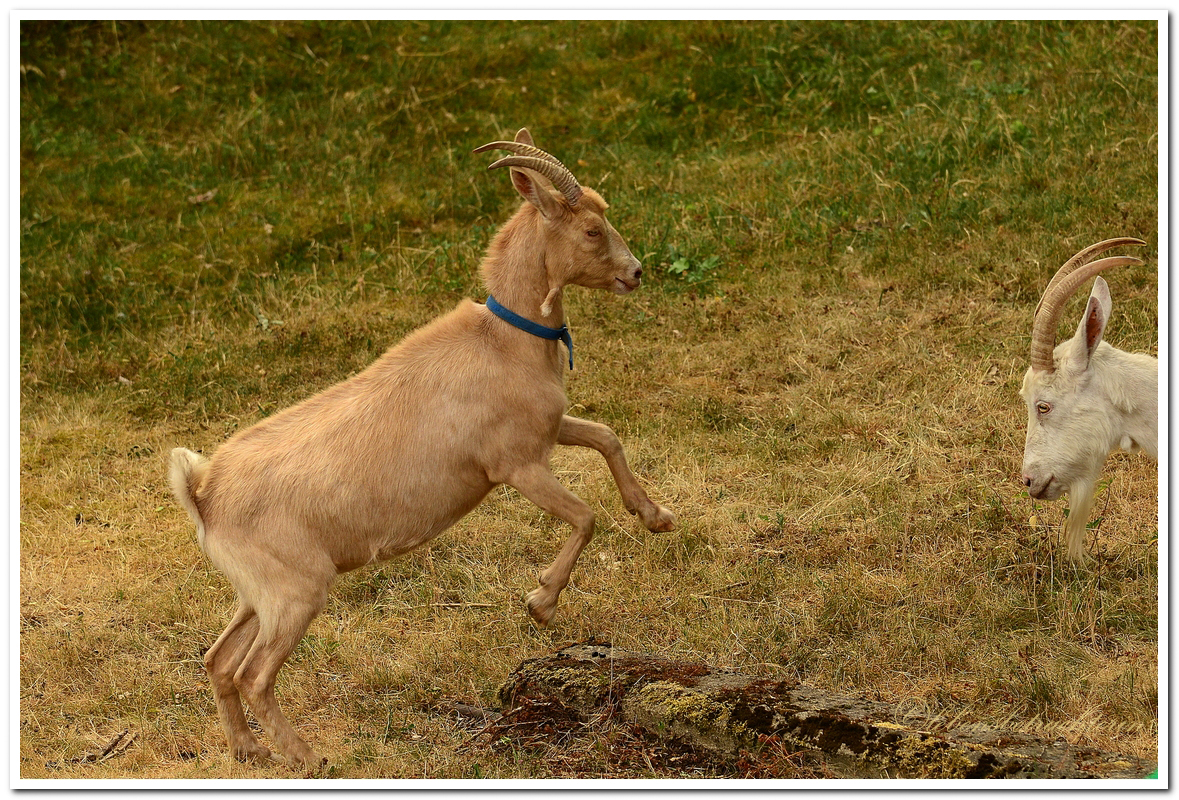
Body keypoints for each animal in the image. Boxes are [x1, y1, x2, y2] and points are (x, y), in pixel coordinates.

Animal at [170, 128, 679, 772]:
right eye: (591, 228)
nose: (635, 273)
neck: (505, 341)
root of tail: (204, 494)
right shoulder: (515, 464)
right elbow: (586, 517)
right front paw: (541, 601)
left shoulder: (548, 431)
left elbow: (607, 437)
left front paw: (657, 516)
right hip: (297, 593)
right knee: (254, 674)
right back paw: (310, 758)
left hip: (258, 593)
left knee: (218, 660)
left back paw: (248, 751)